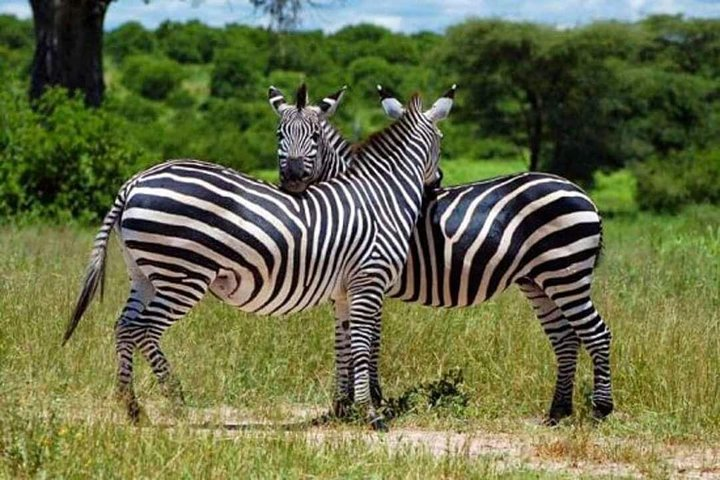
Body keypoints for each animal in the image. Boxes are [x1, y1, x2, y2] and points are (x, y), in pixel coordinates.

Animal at [64, 83, 453, 430]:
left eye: (315, 136)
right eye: (442, 140)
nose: (437, 182)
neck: (383, 194)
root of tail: (133, 182)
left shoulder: (344, 289)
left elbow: (347, 343)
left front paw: (347, 409)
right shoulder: (369, 280)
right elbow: (363, 343)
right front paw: (371, 413)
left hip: (145, 274)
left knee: (124, 325)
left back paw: (132, 407)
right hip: (183, 277)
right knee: (143, 329)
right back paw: (176, 403)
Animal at [270, 84, 613, 425]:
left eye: (315, 136)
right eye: (279, 134)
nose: (293, 177)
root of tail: (582, 193)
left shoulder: (371, 279)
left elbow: (369, 339)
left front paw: (372, 400)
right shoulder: (346, 285)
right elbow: (343, 341)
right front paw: (341, 407)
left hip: (565, 273)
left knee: (597, 332)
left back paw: (600, 409)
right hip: (539, 279)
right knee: (566, 338)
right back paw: (558, 412)